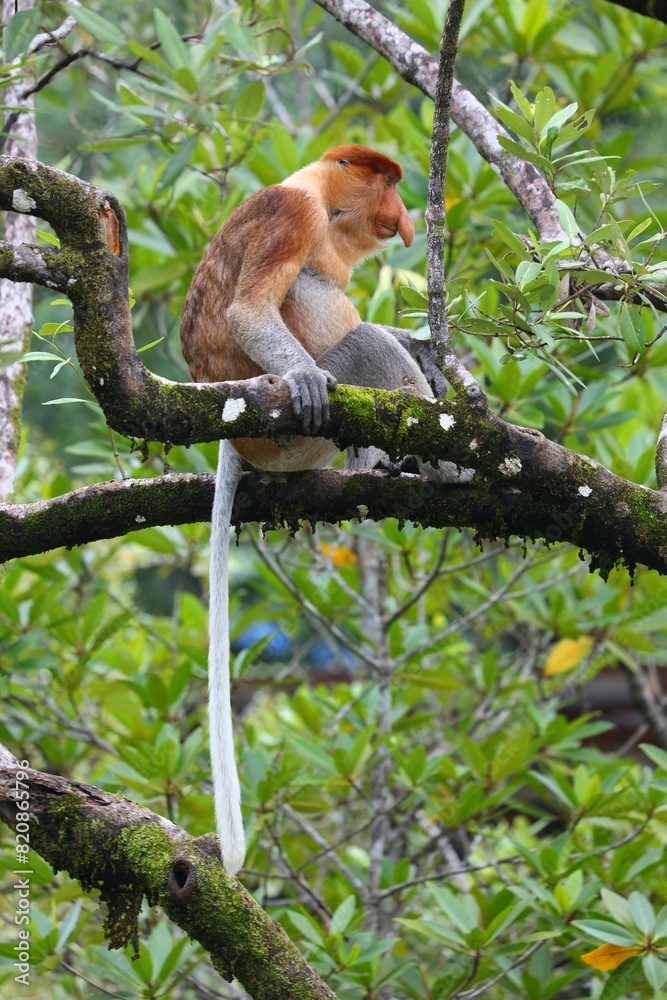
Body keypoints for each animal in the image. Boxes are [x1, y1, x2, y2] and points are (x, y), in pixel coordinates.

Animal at [181, 144, 462, 875]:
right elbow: (252, 310)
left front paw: (426, 347)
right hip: (292, 436)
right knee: (348, 330)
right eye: (387, 183)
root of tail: (233, 433)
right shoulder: (290, 214)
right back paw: (442, 466)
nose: (404, 216)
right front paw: (311, 376)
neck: (318, 199)